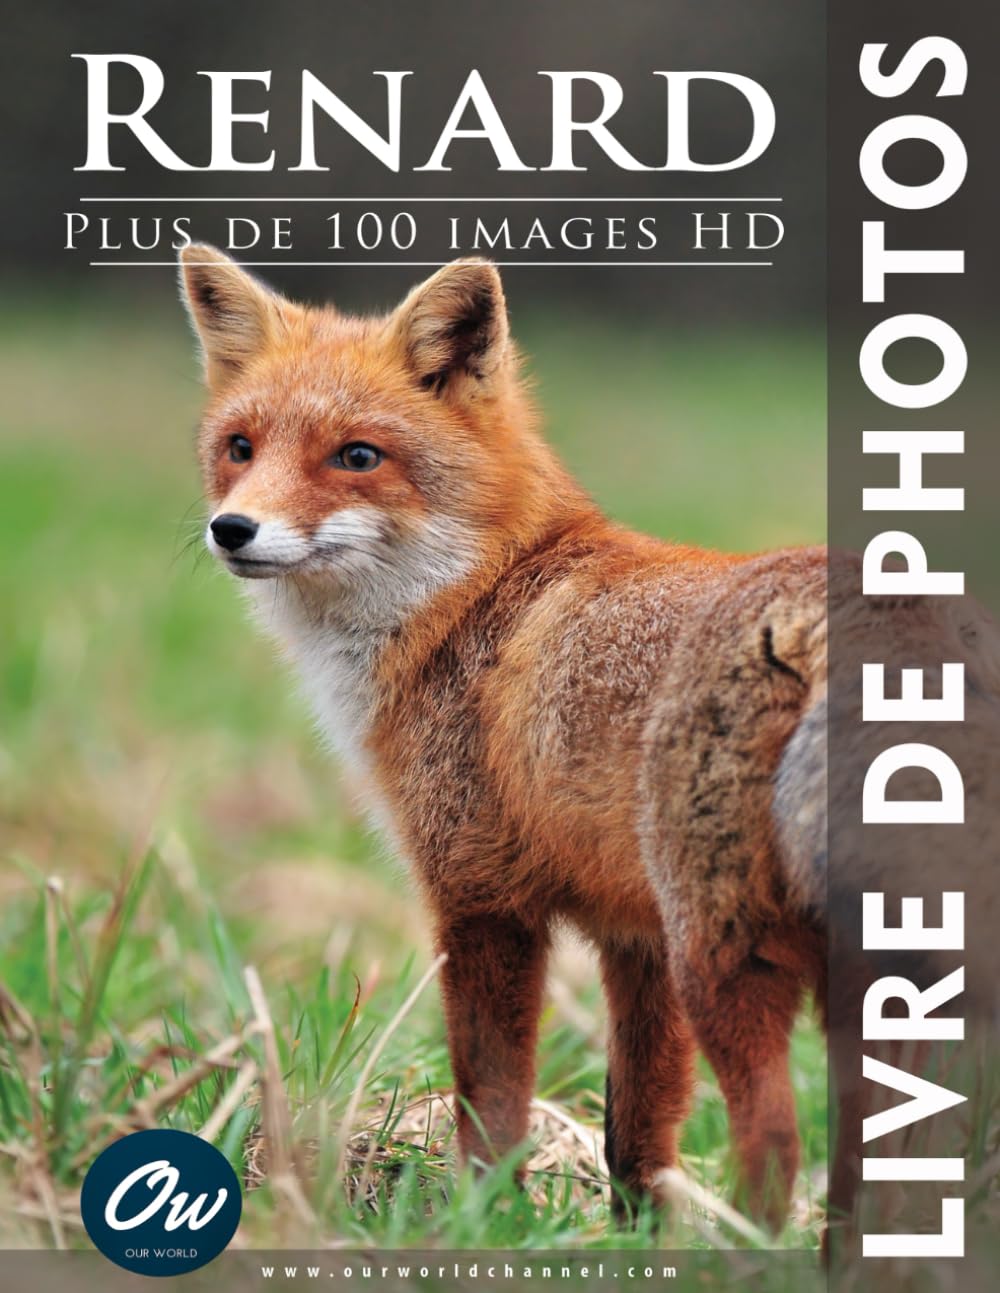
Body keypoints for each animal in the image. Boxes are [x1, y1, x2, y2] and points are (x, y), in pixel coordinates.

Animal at [176, 245, 997, 1237]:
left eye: (358, 456)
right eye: (240, 447)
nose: (233, 529)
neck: (478, 596)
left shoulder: (482, 898)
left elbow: (492, 1102)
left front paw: (487, 1222)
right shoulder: (634, 934)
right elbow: (635, 1132)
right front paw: (636, 1241)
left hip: (729, 956)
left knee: (774, 1144)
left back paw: (752, 1255)